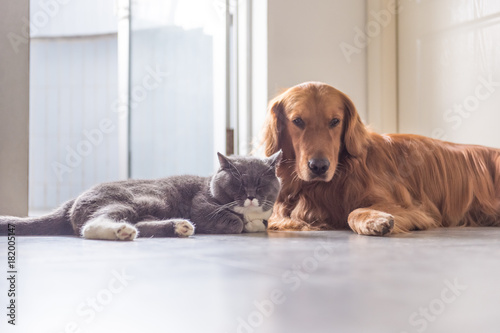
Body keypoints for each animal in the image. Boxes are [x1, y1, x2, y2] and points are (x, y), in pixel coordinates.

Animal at [0, 152, 282, 240]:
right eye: (239, 184)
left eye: (259, 184)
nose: (250, 196)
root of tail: (70, 201)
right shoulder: (201, 206)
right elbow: (234, 222)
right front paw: (246, 222)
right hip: (141, 198)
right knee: (90, 226)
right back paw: (121, 232)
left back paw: (179, 227)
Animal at [262, 81, 500, 235]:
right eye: (298, 121)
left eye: (335, 121)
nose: (319, 167)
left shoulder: (410, 208)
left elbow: (353, 212)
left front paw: (374, 219)